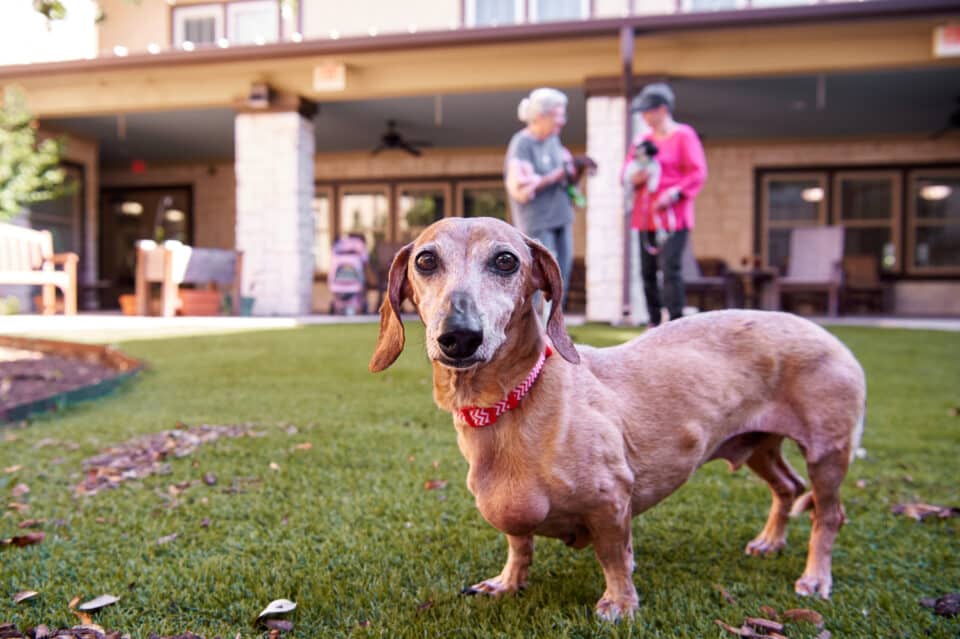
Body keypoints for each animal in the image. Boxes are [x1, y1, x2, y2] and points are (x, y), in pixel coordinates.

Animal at [372, 218, 868, 624]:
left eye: (506, 260)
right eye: (426, 260)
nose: (458, 336)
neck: (512, 405)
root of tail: (825, 333)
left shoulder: (611, 502)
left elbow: (613, 557)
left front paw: (620, 603)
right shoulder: (516, 517)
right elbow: (520, 543)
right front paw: (509, 581)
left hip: (828, 453)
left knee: (829, 515)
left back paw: (815, 577)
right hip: (757, 446)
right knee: (788, 487)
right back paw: (770, 541)